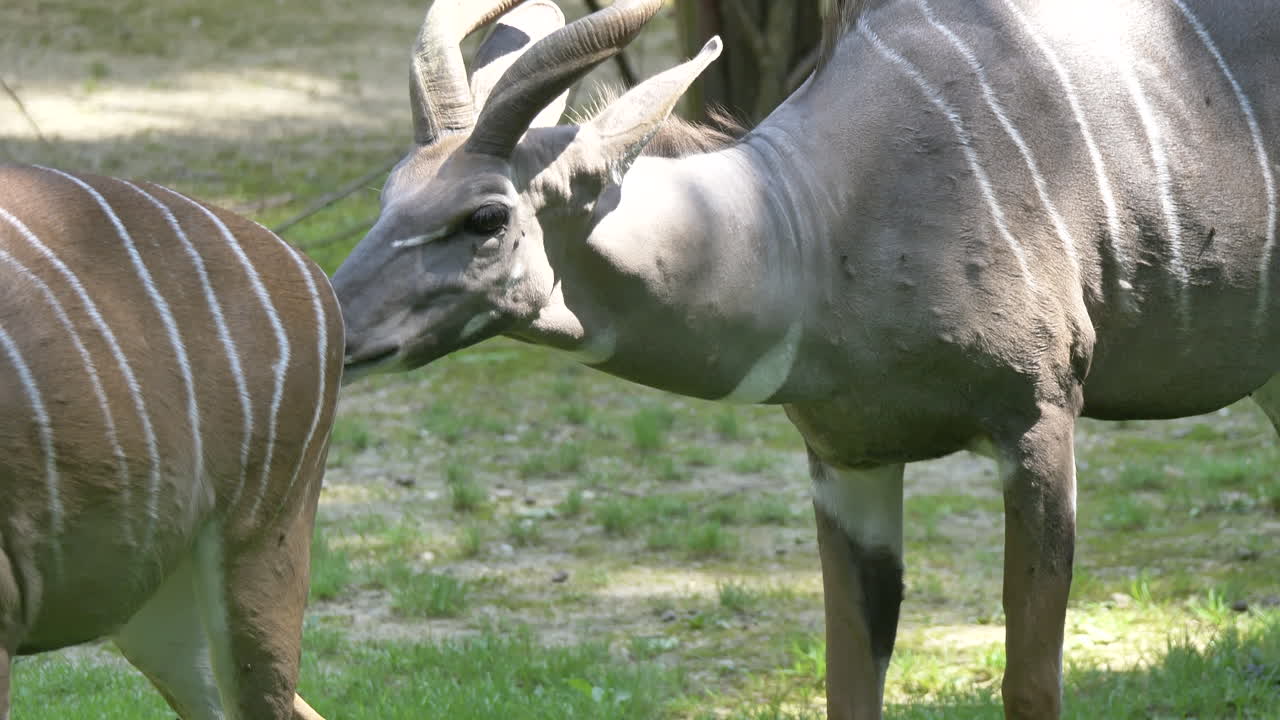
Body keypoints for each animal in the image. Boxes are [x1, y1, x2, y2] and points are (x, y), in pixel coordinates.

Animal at [331, 0, 1280, 717]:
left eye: (486, 218)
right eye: (388, 192)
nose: (333, 326)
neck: (813, 224)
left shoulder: (1041, 419)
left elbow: (1029, 682)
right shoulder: (846, 459)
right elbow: (849, 679)